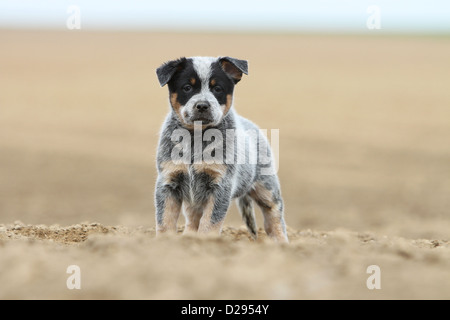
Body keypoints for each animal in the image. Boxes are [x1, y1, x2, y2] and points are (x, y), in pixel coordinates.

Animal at [155, 57, 288, 242]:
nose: (202, 105)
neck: (196, 137)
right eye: (187, 87)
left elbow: (210, 222)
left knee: (274, 215)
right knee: (193, 218)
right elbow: (165, 220)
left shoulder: (220, 184)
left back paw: (280, 242)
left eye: (217, 88)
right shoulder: (168, 181)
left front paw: (205, 242)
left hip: (266, 186)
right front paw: (164, 242)